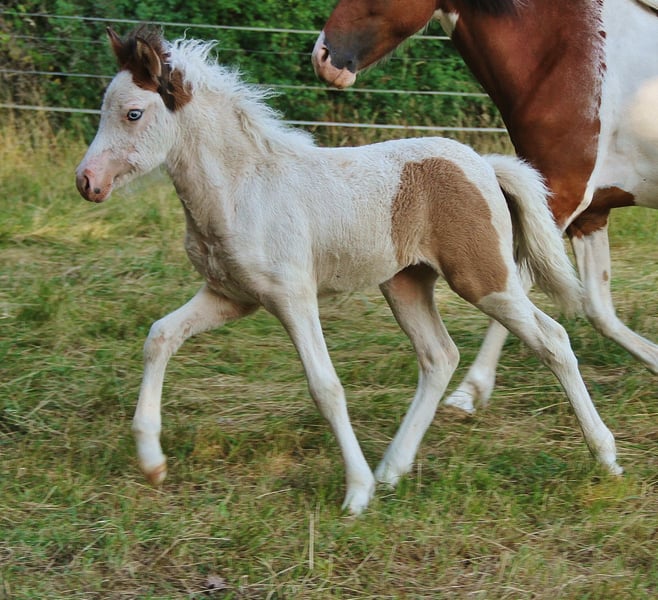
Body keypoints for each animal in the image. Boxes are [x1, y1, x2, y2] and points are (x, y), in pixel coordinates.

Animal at [76, 28, 621, 515]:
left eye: (133, 112)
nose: (87, 182)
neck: (242, 187)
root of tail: (484, 164)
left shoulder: (292, 297)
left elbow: (325, 386)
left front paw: (356, 492)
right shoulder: (230, 296)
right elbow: (160, 336)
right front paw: (152, 461)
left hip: (486, 280)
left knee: (551, 339)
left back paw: (606, 455)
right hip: (404, 284)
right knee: (439, 356)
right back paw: (392, 470)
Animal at [312, 0, 658, 414]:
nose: (324, 57)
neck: (568, 56)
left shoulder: (558, 199)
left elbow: (518, 294)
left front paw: (468, 393)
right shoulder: (588, 214)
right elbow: (599, 310)